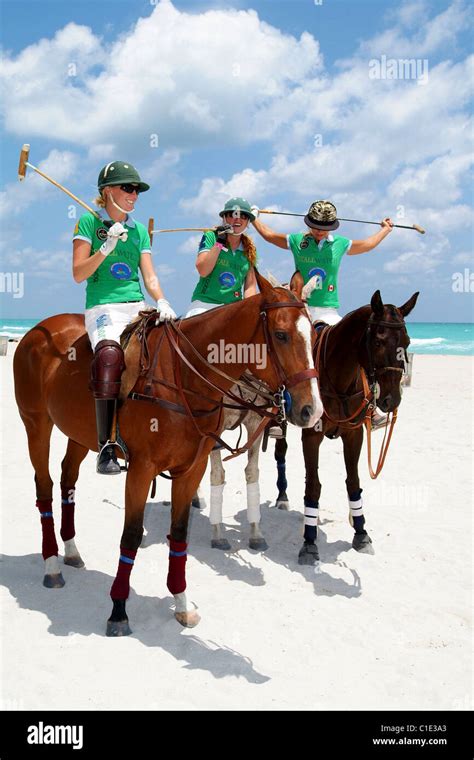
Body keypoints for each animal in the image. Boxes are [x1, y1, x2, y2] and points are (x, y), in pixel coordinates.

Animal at [15, 274, 326, 636]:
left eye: (313, 335)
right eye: (281, 334)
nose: (312, 410)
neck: (185, 378)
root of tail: (37, 329)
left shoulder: (191, 469)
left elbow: (179, 534)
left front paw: (182, 604)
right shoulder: (141, 469)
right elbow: (131, 535)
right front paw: (118, 610)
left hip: (79, 431)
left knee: (67, 478)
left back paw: (72, 551)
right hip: (36, 423)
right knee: (44, 486)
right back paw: (52, 566)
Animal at [272, 284, 420, 564]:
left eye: (406, 343)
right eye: (378, 341)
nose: (391, 399)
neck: (339, 380)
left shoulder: (353, 434)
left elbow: (353, 482)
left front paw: (361, 532)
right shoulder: (312, 436)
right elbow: (313, 486)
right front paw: (309, 543)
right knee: (280, 452)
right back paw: (282, 497)